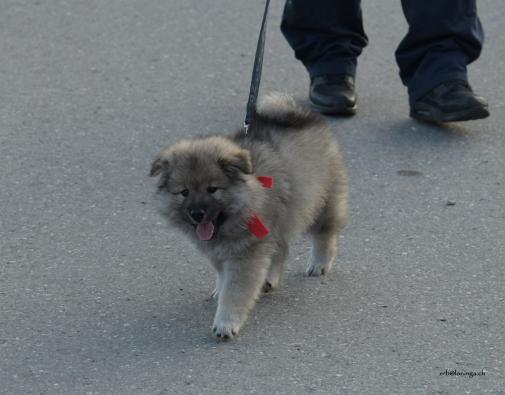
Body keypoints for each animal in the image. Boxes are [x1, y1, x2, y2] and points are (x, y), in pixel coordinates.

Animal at [150, 93, 346, 340]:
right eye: (184, 192)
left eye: (212, 189)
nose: (197, 214)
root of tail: (300, 113)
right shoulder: (221, 252)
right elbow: (223, 276)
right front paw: (220, 288)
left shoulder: (245, 256)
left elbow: (234, 293)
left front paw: (225, 324)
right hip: (279, 220)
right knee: (280, 249)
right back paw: (270, 278)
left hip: (321, 200)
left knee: (324, 233)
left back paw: (319, 263)